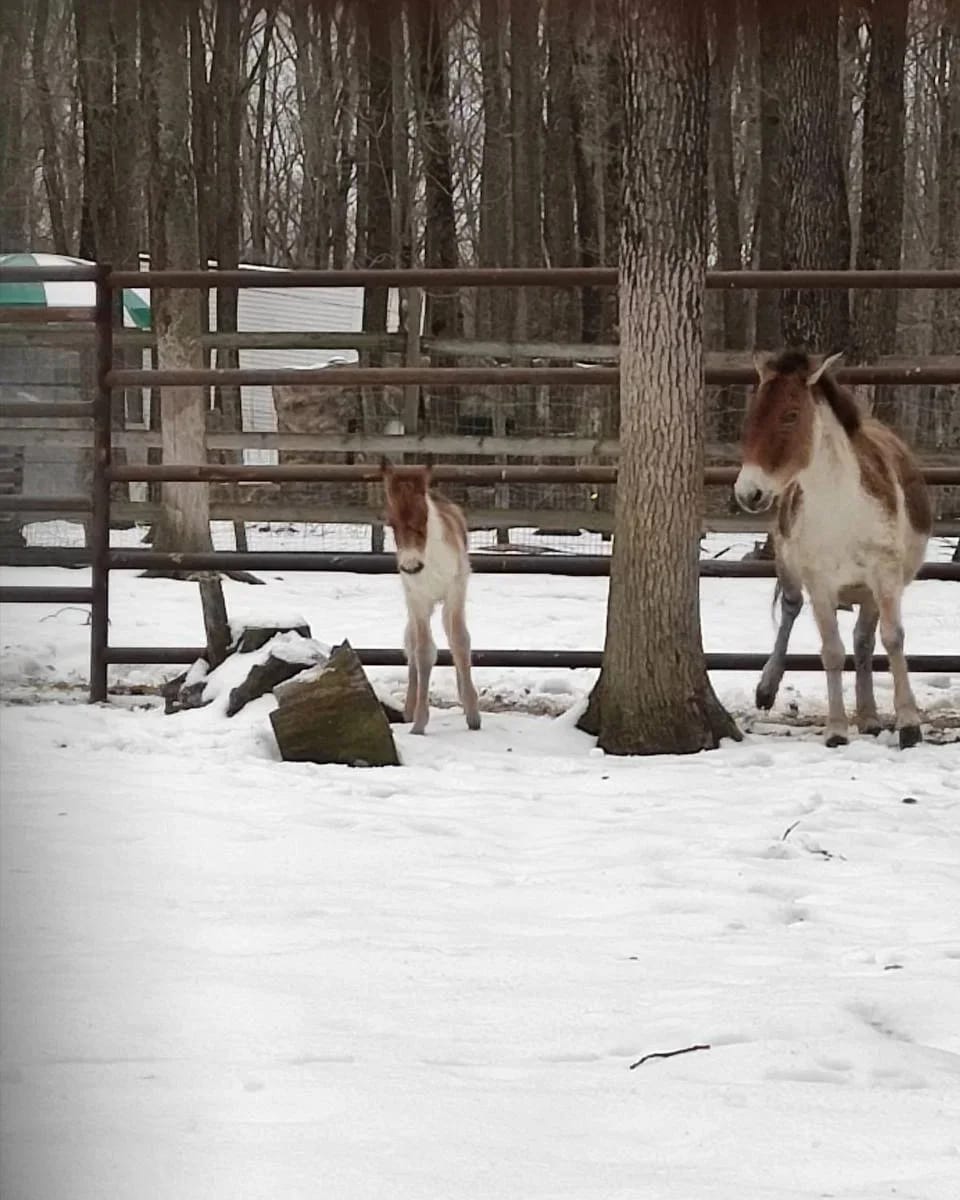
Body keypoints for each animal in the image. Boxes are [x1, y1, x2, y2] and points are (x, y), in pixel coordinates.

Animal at [376, 458, 477, 734]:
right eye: (391, 523)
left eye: (424, 518)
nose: (411, 566)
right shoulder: (417, 599)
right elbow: (422, 651)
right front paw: (419, 722)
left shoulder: (455, 590)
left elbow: (461, 641)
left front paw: (473, 715)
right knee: (411, 644)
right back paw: (409, 709)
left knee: (453, 637)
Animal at [734, 345, 931, 748]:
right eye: (753, 415)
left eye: (791, 415)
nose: (748, 493)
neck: (842, 505)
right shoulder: (819, 583)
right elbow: (831, 651)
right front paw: (837, 729)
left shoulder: (885, 576)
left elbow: (892, 640)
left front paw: (908, 724)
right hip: (789, 566)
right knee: (791, 610)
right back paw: (768, 686)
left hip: (871, 590)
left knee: (865, 641)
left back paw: (870, 717)